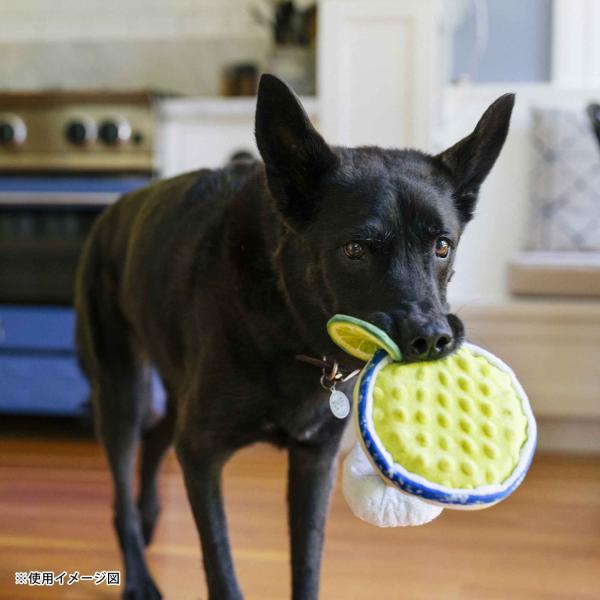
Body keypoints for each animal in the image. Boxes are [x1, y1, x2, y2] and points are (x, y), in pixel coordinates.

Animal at [75, 76, 512, 600]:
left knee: (159, 433)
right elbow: (220, 566)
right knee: (124, 474)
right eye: (355, 249)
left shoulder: (313, 460)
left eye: (442, 246)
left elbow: (307, 561)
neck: (290, 326)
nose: (431, 339)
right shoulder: (202, 455)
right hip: (121, 392)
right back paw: (138, 573)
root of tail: (112, 211)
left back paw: (149, 518)